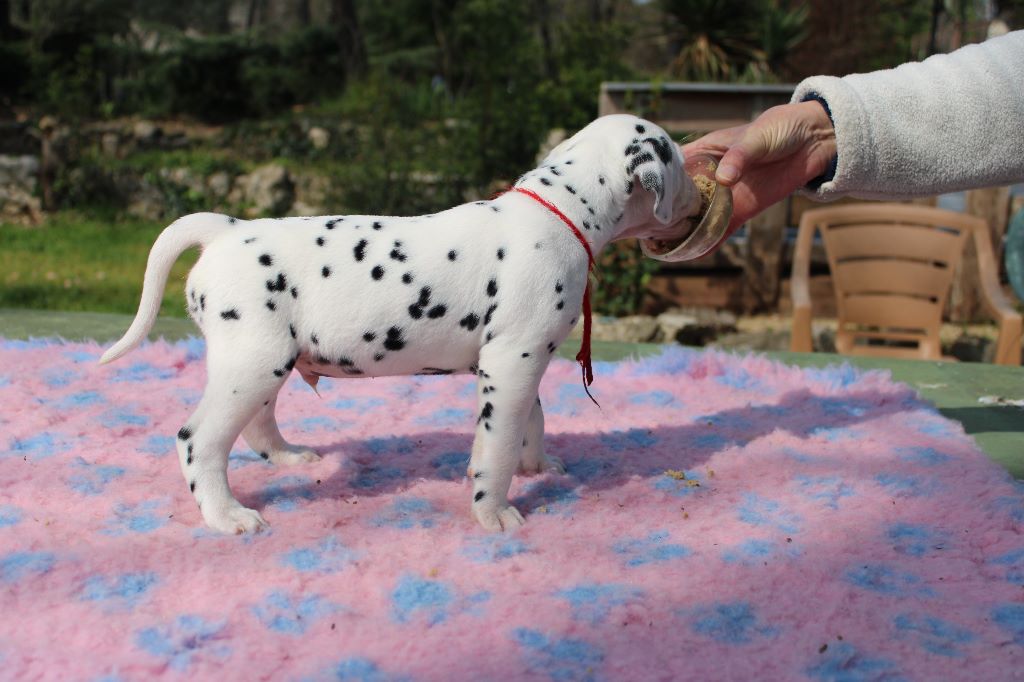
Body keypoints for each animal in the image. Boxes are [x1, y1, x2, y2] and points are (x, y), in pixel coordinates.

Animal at [101, 114, 699, 534]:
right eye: (676, 158)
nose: (700, 192)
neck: (558, 212)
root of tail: (223, 229)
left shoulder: (521, 362)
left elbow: (532, 420)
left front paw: (539, 467)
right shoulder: (512, 360)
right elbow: (498, 444)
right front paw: (495, 512)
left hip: (263, 363)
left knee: (254, 424)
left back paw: (290, 458)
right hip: (252, 363)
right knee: (198, 440)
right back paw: (227, 515)